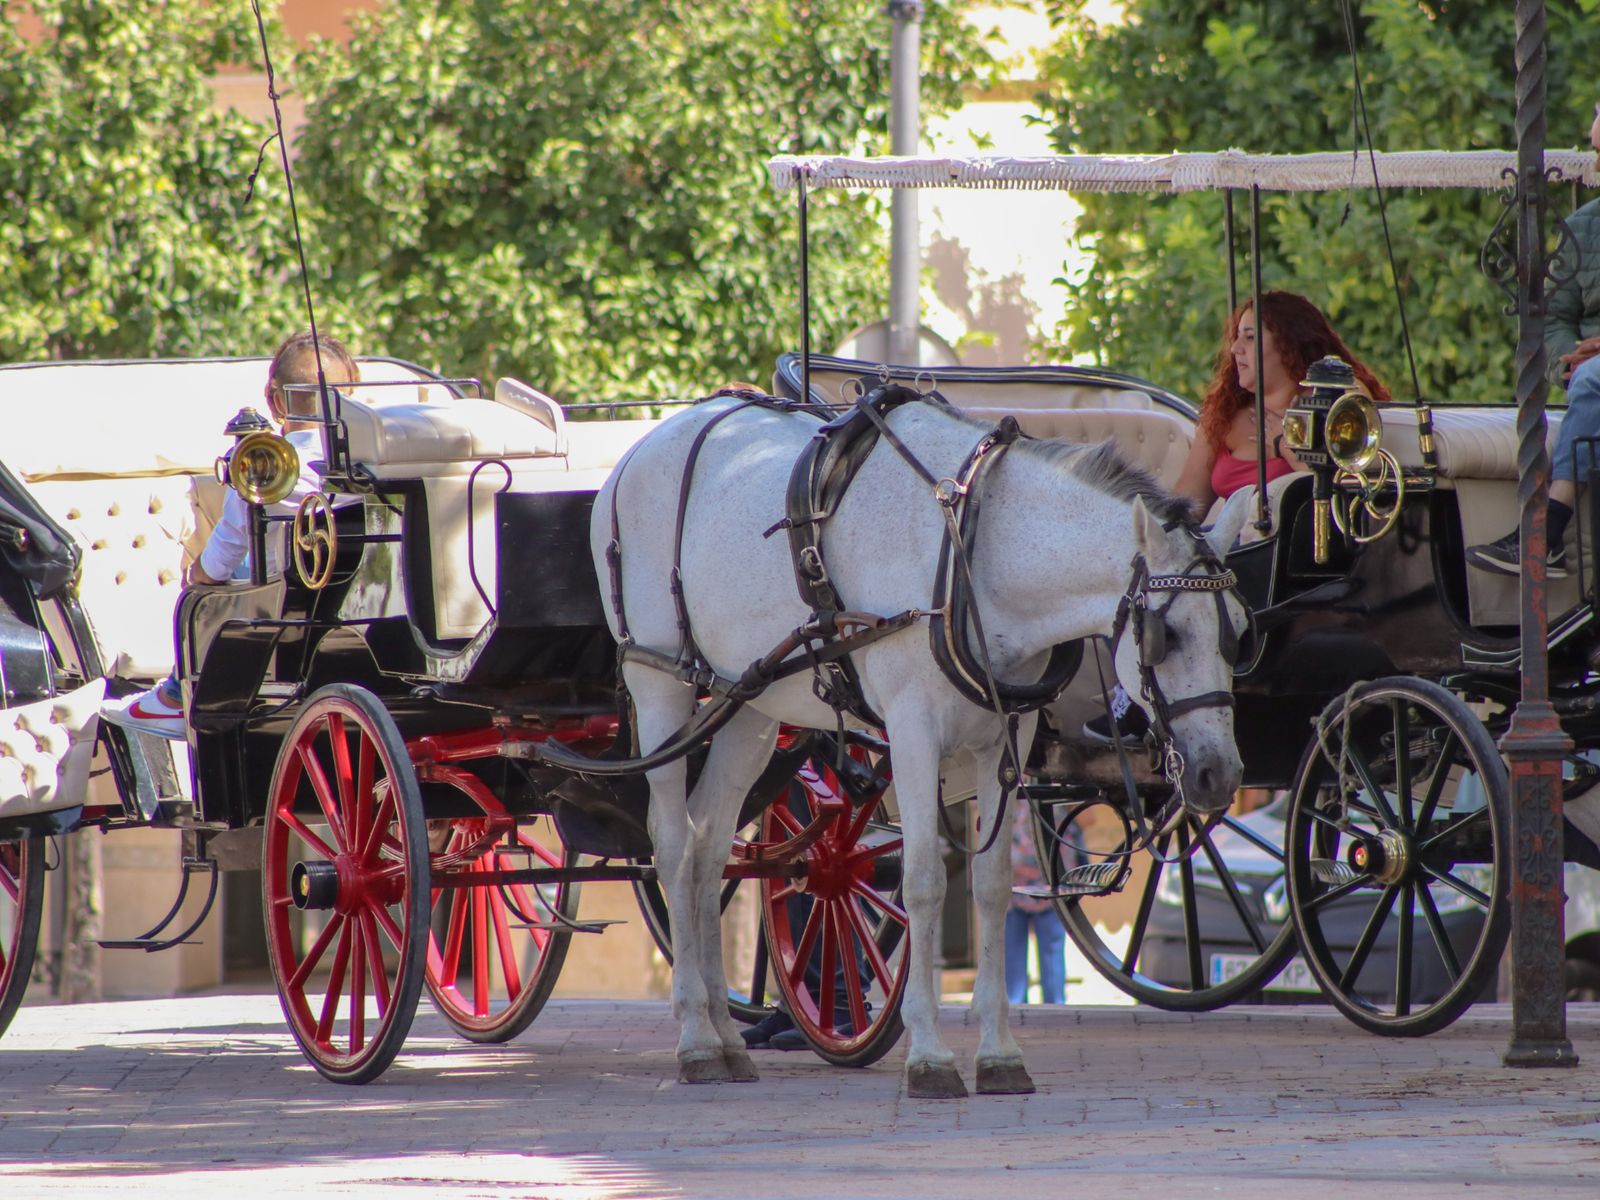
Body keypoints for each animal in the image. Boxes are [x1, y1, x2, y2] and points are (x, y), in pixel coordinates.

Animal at [595, 395, 1254, 1100]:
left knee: (710, 847)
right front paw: (930, 1056)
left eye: (1241, 635)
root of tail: (634, 455)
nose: (1218, 775)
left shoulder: (1008, 739)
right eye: (1167, 636)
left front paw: (999, 1055)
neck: (976, 551)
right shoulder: (911, 732)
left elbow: (993, 889)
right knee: (671, 844)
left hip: (750, 703)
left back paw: (722, 1037)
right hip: (661, 683)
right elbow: (923, 882)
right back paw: (694, 1037)